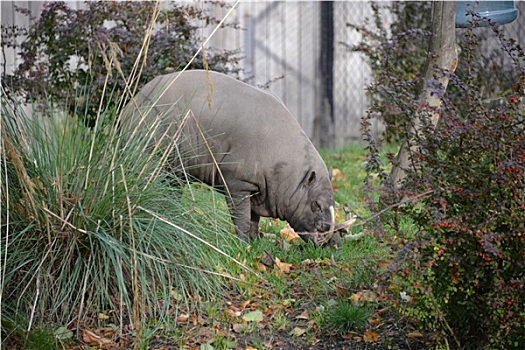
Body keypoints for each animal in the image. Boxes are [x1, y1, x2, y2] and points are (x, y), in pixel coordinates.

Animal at [122, 69, 334, 243]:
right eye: (316, 204)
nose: (331, 240)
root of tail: (132, 103)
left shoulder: (257, 189)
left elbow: (254, 219)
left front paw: (255, 242)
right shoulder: (237, 182)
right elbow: (242, 218)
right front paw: (244, 245)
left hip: (176, 171)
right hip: (152, 156)